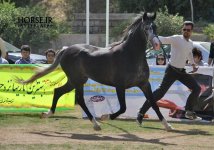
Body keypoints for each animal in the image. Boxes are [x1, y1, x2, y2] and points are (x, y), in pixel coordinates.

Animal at [15, 12, 172, 131]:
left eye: (155, 27)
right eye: (146, 28)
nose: (157, 44)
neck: (130, 55)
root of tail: (66, 49)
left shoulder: (144, 84)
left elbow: (154, 103)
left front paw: (167, 125)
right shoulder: (119, 86)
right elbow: (123, 108)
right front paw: (105, 116)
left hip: (75, 80)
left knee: (58, 91)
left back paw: (47, 113)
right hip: (77, 81)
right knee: (79, 99)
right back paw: (96, 124)